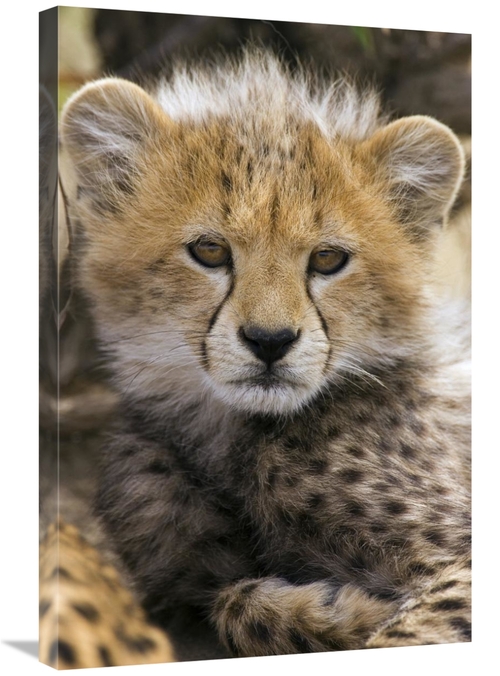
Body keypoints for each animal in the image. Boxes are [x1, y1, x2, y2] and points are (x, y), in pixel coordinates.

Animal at [59, 50, 471, 659]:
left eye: (327, 259)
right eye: (209, 250)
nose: (270, 341)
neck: (232, 439)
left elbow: (412, 630)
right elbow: (229, 598)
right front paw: (335, 610)